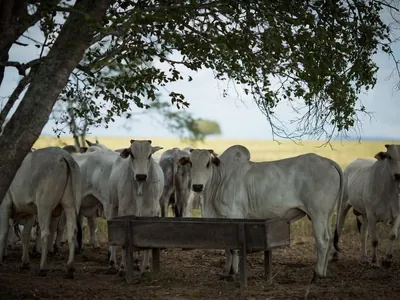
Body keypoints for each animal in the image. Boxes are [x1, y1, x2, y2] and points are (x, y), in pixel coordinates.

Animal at [0, 146, 81, 278]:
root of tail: (64, 156)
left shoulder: (5, 205)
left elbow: (3, 233)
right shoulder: (29, 212)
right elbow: (25, 236)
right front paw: (25, 263)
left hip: (44, 206)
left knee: (45, 234)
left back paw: (43, 267)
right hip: (69, 205)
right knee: (72, 231)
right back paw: (70, 267)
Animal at [188, 145, 344, 282]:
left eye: (208, 164)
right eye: (190, 163)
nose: (197, 186)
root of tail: (327, 161)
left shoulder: (234, 215)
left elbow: (233, 249)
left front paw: (233, 273)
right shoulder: (222, 222)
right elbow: (227, 247)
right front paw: (226, 272)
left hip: (318, 214)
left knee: (323, 240)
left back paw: (317, 275)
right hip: (327, 215)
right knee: (330, 239)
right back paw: (323, 273)